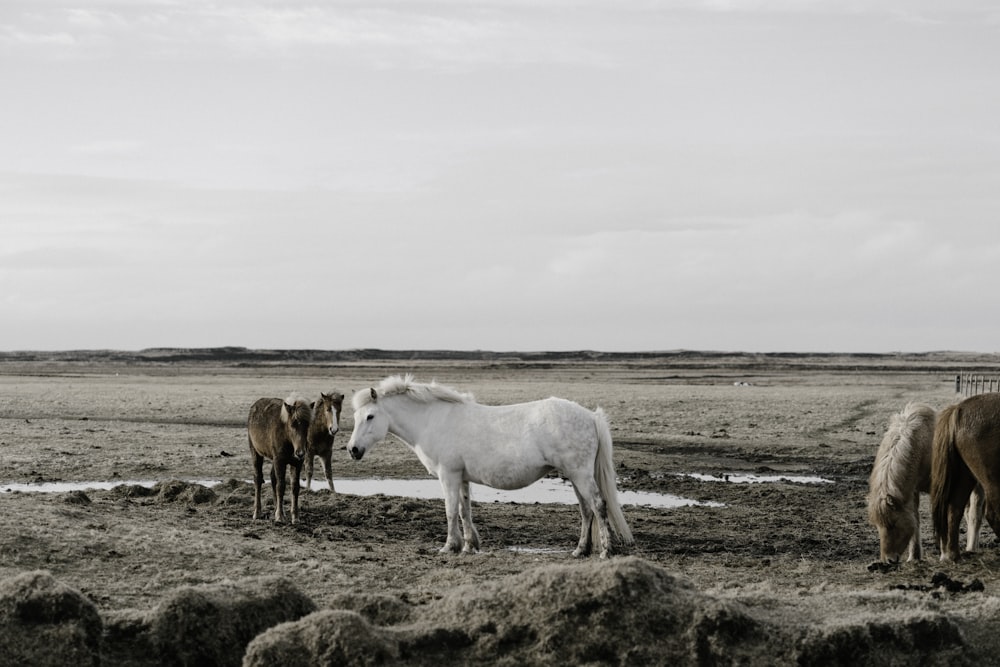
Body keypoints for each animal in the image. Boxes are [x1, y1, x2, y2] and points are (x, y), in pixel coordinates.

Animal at [248, 394, 310, 524]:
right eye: (293, 424)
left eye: (307, 424)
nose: (300, 453)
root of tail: (255, 405)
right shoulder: (280, 461)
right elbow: (281, 486)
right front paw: (280, 516)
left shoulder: (296, 463)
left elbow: (295, 487)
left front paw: (295, 517)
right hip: (256, 452)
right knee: (258, 478)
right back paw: (257, 512)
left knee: (273, 478)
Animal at [348, 376, 632, 560]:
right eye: (355, 417)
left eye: (370, 416)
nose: (353, 450)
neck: (433, 420)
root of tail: (591, 416)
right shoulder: (461, 478)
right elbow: (464, 511)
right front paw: (468, 546)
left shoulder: (448, 476)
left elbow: (450, 511)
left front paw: (449, 546)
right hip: (574, 477)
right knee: (586, 511)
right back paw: (580, 550)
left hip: (580, 475)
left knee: (598, 505)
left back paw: (606, 551)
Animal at [868, 402, 984, 564]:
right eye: (878, 526)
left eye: (893, 524)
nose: (889, 560)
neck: (923, 446)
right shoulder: (913, 491)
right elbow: (916, 520)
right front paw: (914, 557)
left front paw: (944, 555)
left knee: (975, 514)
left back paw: (971, 548)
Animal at [928, 394, 1000, 560]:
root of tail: (959, 409)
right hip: (992, 480)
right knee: (993, 513)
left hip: (966, 475)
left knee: (954, 508)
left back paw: (953, 554)